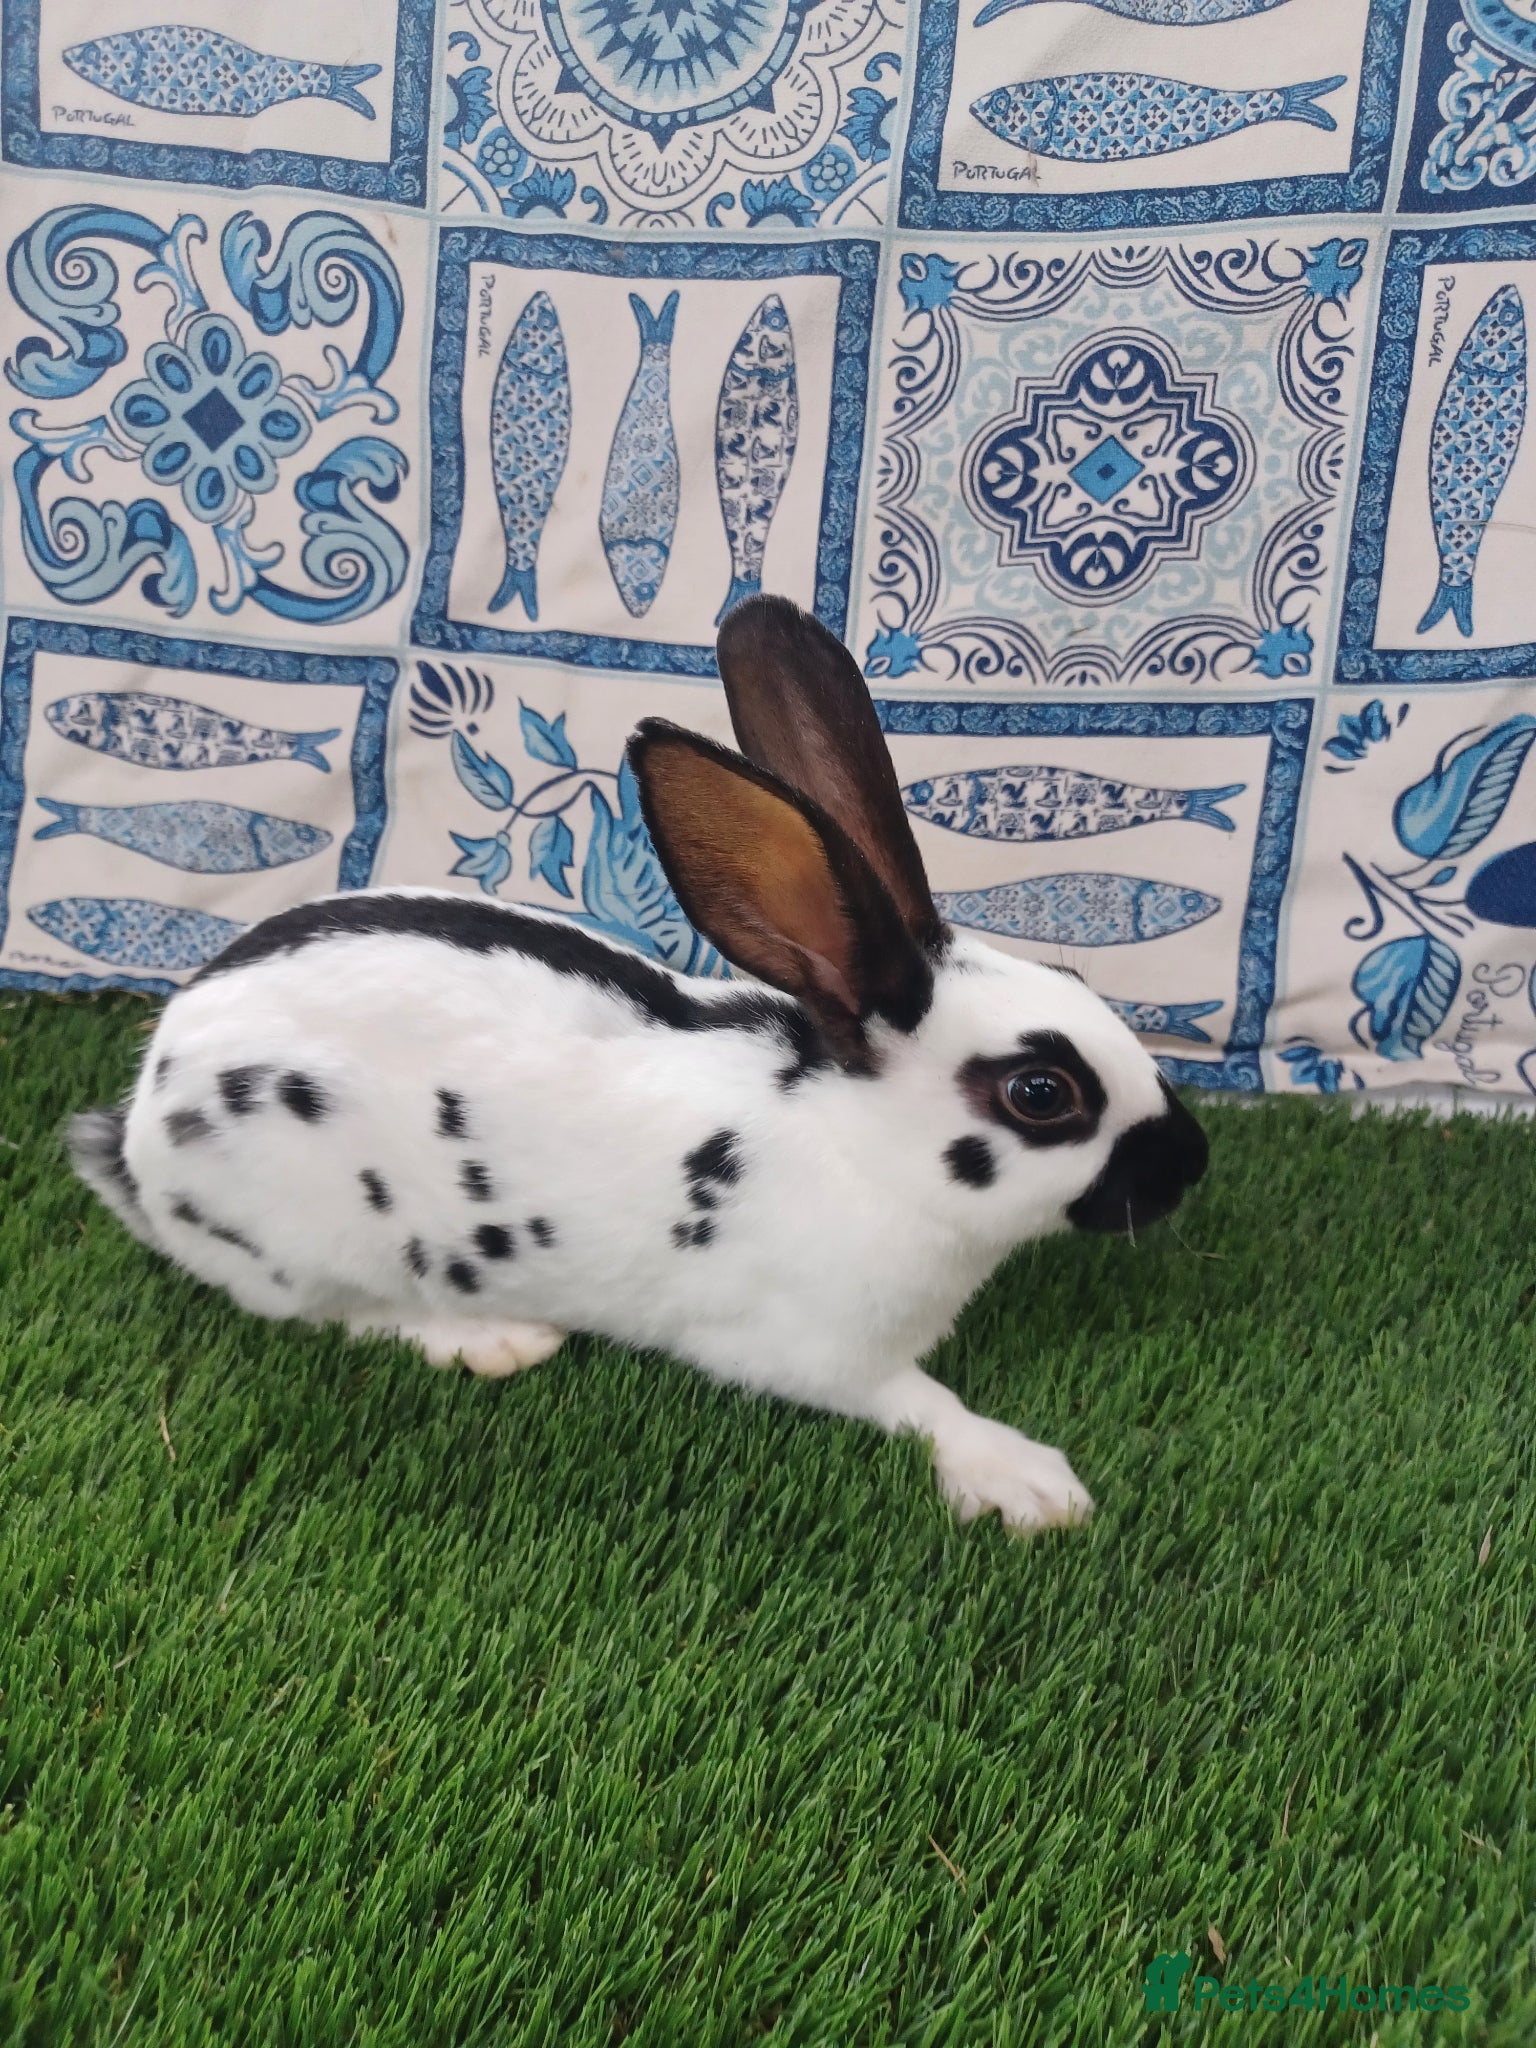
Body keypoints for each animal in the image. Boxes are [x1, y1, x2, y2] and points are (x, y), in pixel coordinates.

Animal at [68, 595, 1207, 1534]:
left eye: (1076, 975)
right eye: (1041, 1092)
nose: (1191, 1165)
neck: (857, 1148)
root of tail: (141, 1125)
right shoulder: (813, 1350)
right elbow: (920, 1403)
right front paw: (1030, 1483)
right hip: (312, 1236)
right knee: (337, 1311)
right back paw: (490, 1340)